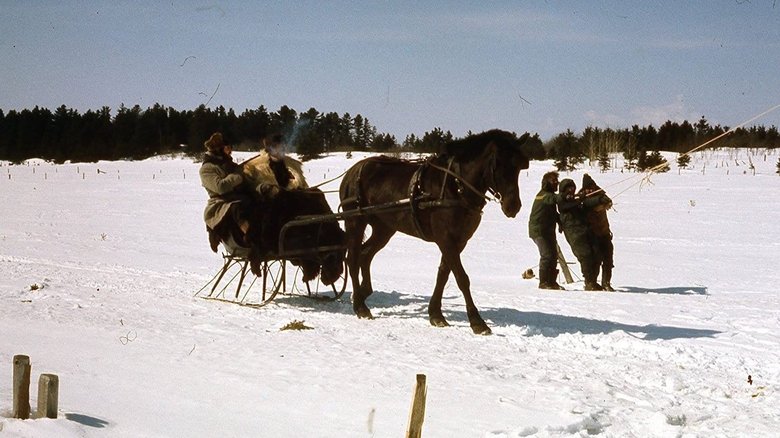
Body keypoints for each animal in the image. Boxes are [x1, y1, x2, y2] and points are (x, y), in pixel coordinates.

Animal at [340, 128, 532, 334]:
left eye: (519, 167)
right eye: (498, 164)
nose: (513, 206)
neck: (455, 186)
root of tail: (351, 172)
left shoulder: (459, 240)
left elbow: (443, 275)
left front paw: (436, 314)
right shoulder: (445, 238)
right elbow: (461, 278)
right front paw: (477, 322)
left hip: (384, 228)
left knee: (365, 255)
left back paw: (362, 293)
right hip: (355, 222)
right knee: (352, 259)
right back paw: (360, 306)